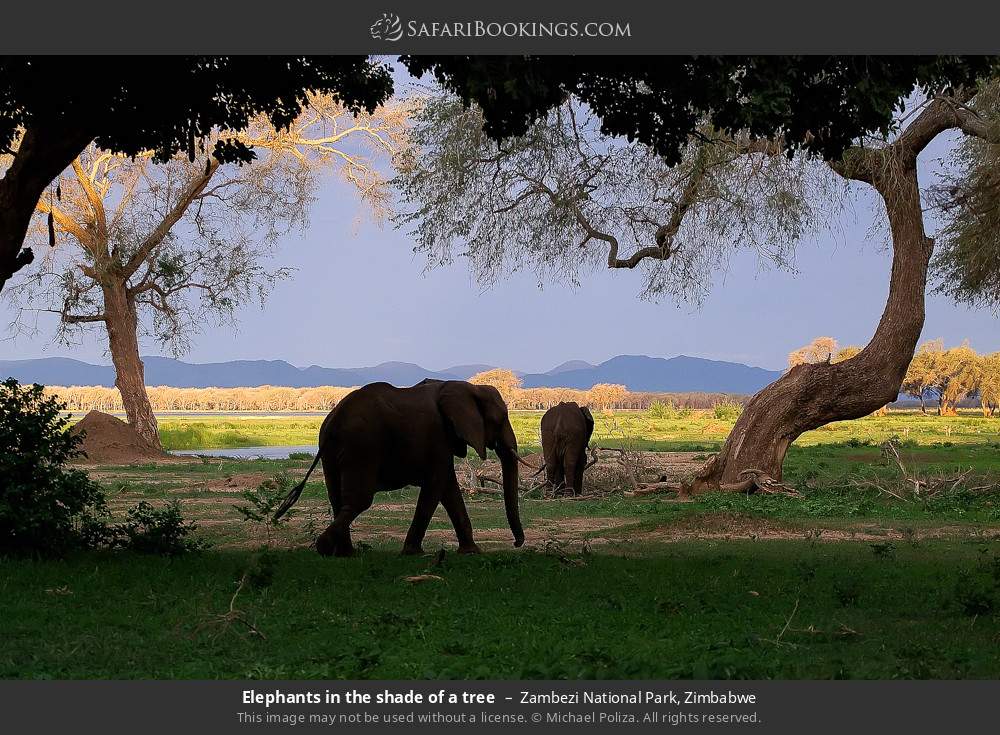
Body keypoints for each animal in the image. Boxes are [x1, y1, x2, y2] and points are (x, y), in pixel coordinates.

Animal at [273, 379, 524, 556]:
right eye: (501, 419)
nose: (516, 543)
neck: (463, 386)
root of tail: (334, 421)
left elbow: (448, 489)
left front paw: (470, 552)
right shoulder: (438, 438)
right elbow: (437, 484)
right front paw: (413, 553)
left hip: (335, 451)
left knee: (337, 498)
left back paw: (344, 554)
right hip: (363, 446)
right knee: (359, 500)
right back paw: (326, 547)